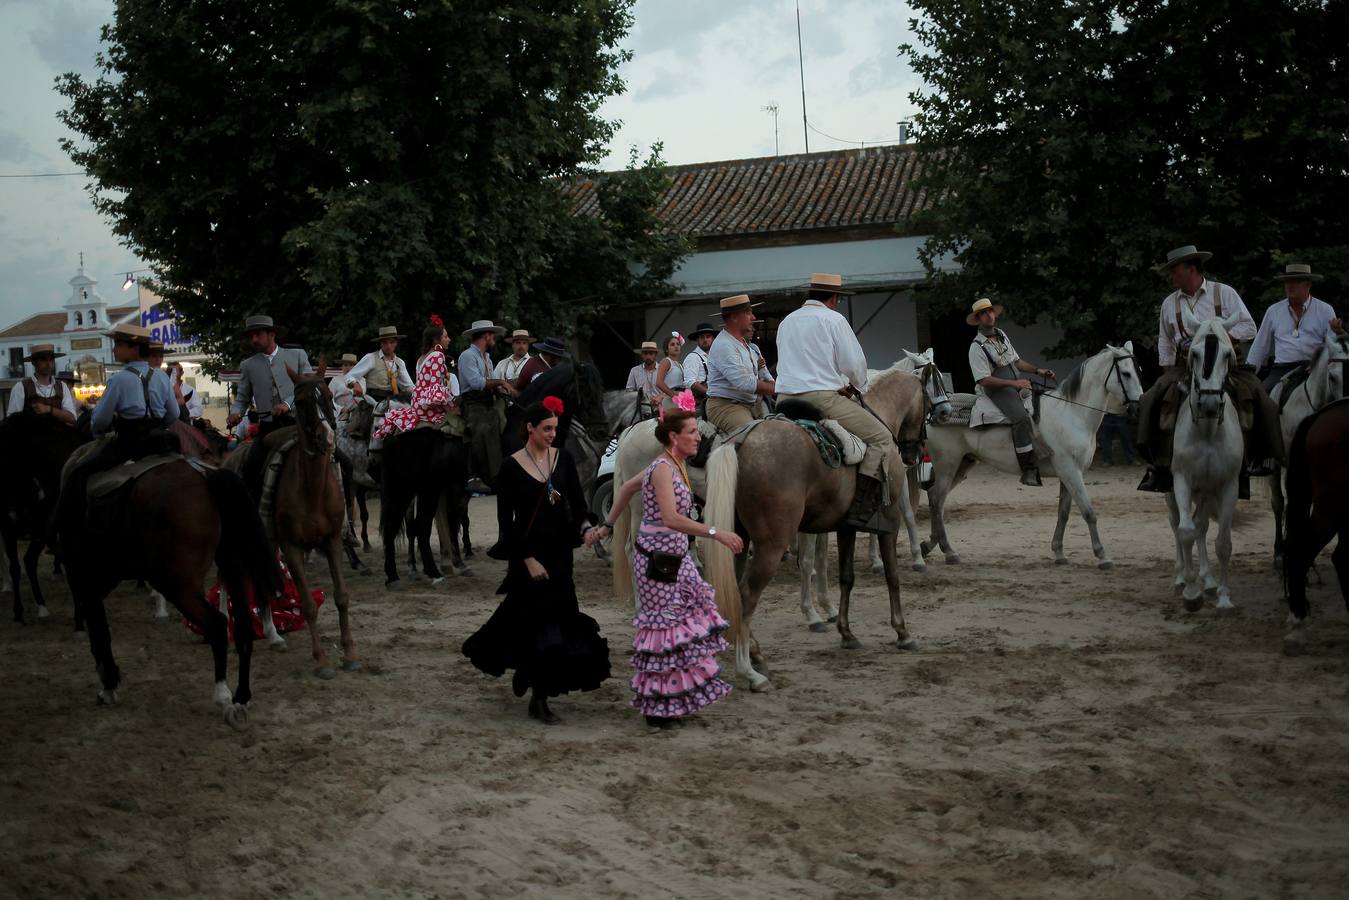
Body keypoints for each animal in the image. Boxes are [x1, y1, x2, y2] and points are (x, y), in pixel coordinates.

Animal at [696, 369, 928, 696]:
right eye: (929, 400)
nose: (915, 452)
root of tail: (739, 442)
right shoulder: (890, 521)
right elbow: (892, 577)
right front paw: (902, 632)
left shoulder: (846, 526)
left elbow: (846, 578)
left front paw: (846, 633)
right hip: (771, 543)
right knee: (747, 594)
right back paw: (750, 672)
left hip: (737, 539)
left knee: (732, 590)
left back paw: (754, 655)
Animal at [917, 345, 1138, 569]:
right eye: (1126, 373)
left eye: (1137, 370)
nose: (1136, 407)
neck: (1072, 413)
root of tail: (936, 413)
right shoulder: (1071, 472)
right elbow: (1088, 512)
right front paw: (1103, 556)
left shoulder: (1067, 474)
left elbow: (1063, 513)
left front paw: (1059, 553)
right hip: (947, 465)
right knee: (936, 499)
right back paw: (948, 550)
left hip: (962, 465)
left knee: (936, 500)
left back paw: (930, 546)